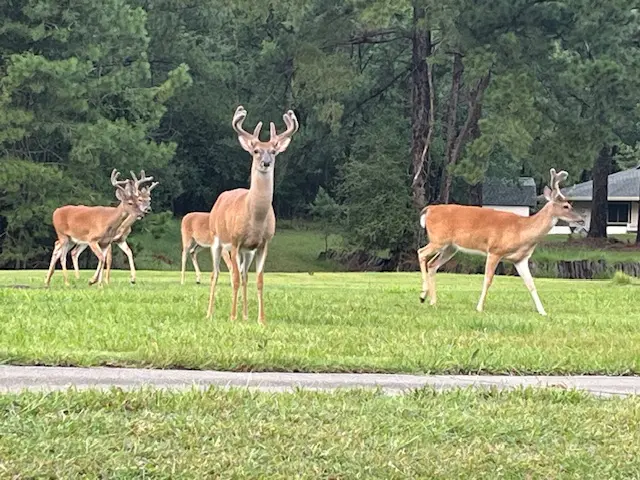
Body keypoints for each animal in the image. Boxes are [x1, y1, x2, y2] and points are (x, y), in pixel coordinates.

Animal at [208, 104, 300, 322]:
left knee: (244, 276)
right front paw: (232, 317)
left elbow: (258, 280)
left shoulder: (263, 244)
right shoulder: (234, 241)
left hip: (245, 252)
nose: (266, 162)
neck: (255, 218)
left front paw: (261, 319)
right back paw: (210, 313)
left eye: (273, 151)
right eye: (256, 150)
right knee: (216, 274)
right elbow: (232, 278)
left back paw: (245, 315)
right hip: (217, 240)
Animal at [418, 169, 588, 316]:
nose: (581, 219)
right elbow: (488, 280)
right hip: (438, 239)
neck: (522, 232)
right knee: (421, 252)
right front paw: (479, 307)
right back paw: (423, 295)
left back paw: (431, 300)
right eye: (566, 206)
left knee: (432, 264)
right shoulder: (495, 250)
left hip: (450, 247)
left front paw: (542, 311)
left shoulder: (520, 259)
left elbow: (531, 284)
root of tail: (428, 209)